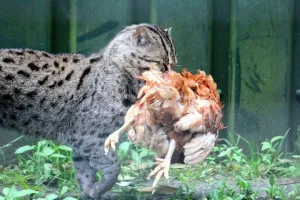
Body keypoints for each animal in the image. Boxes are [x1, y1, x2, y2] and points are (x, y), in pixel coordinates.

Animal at [0, 23, 177, 198]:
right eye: (160, 63)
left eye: (173, 64)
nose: (171, 78)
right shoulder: (88, 137)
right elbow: (114, 165)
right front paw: (101, 187)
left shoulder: (82, 140)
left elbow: (83, 171)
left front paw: (90, 191)